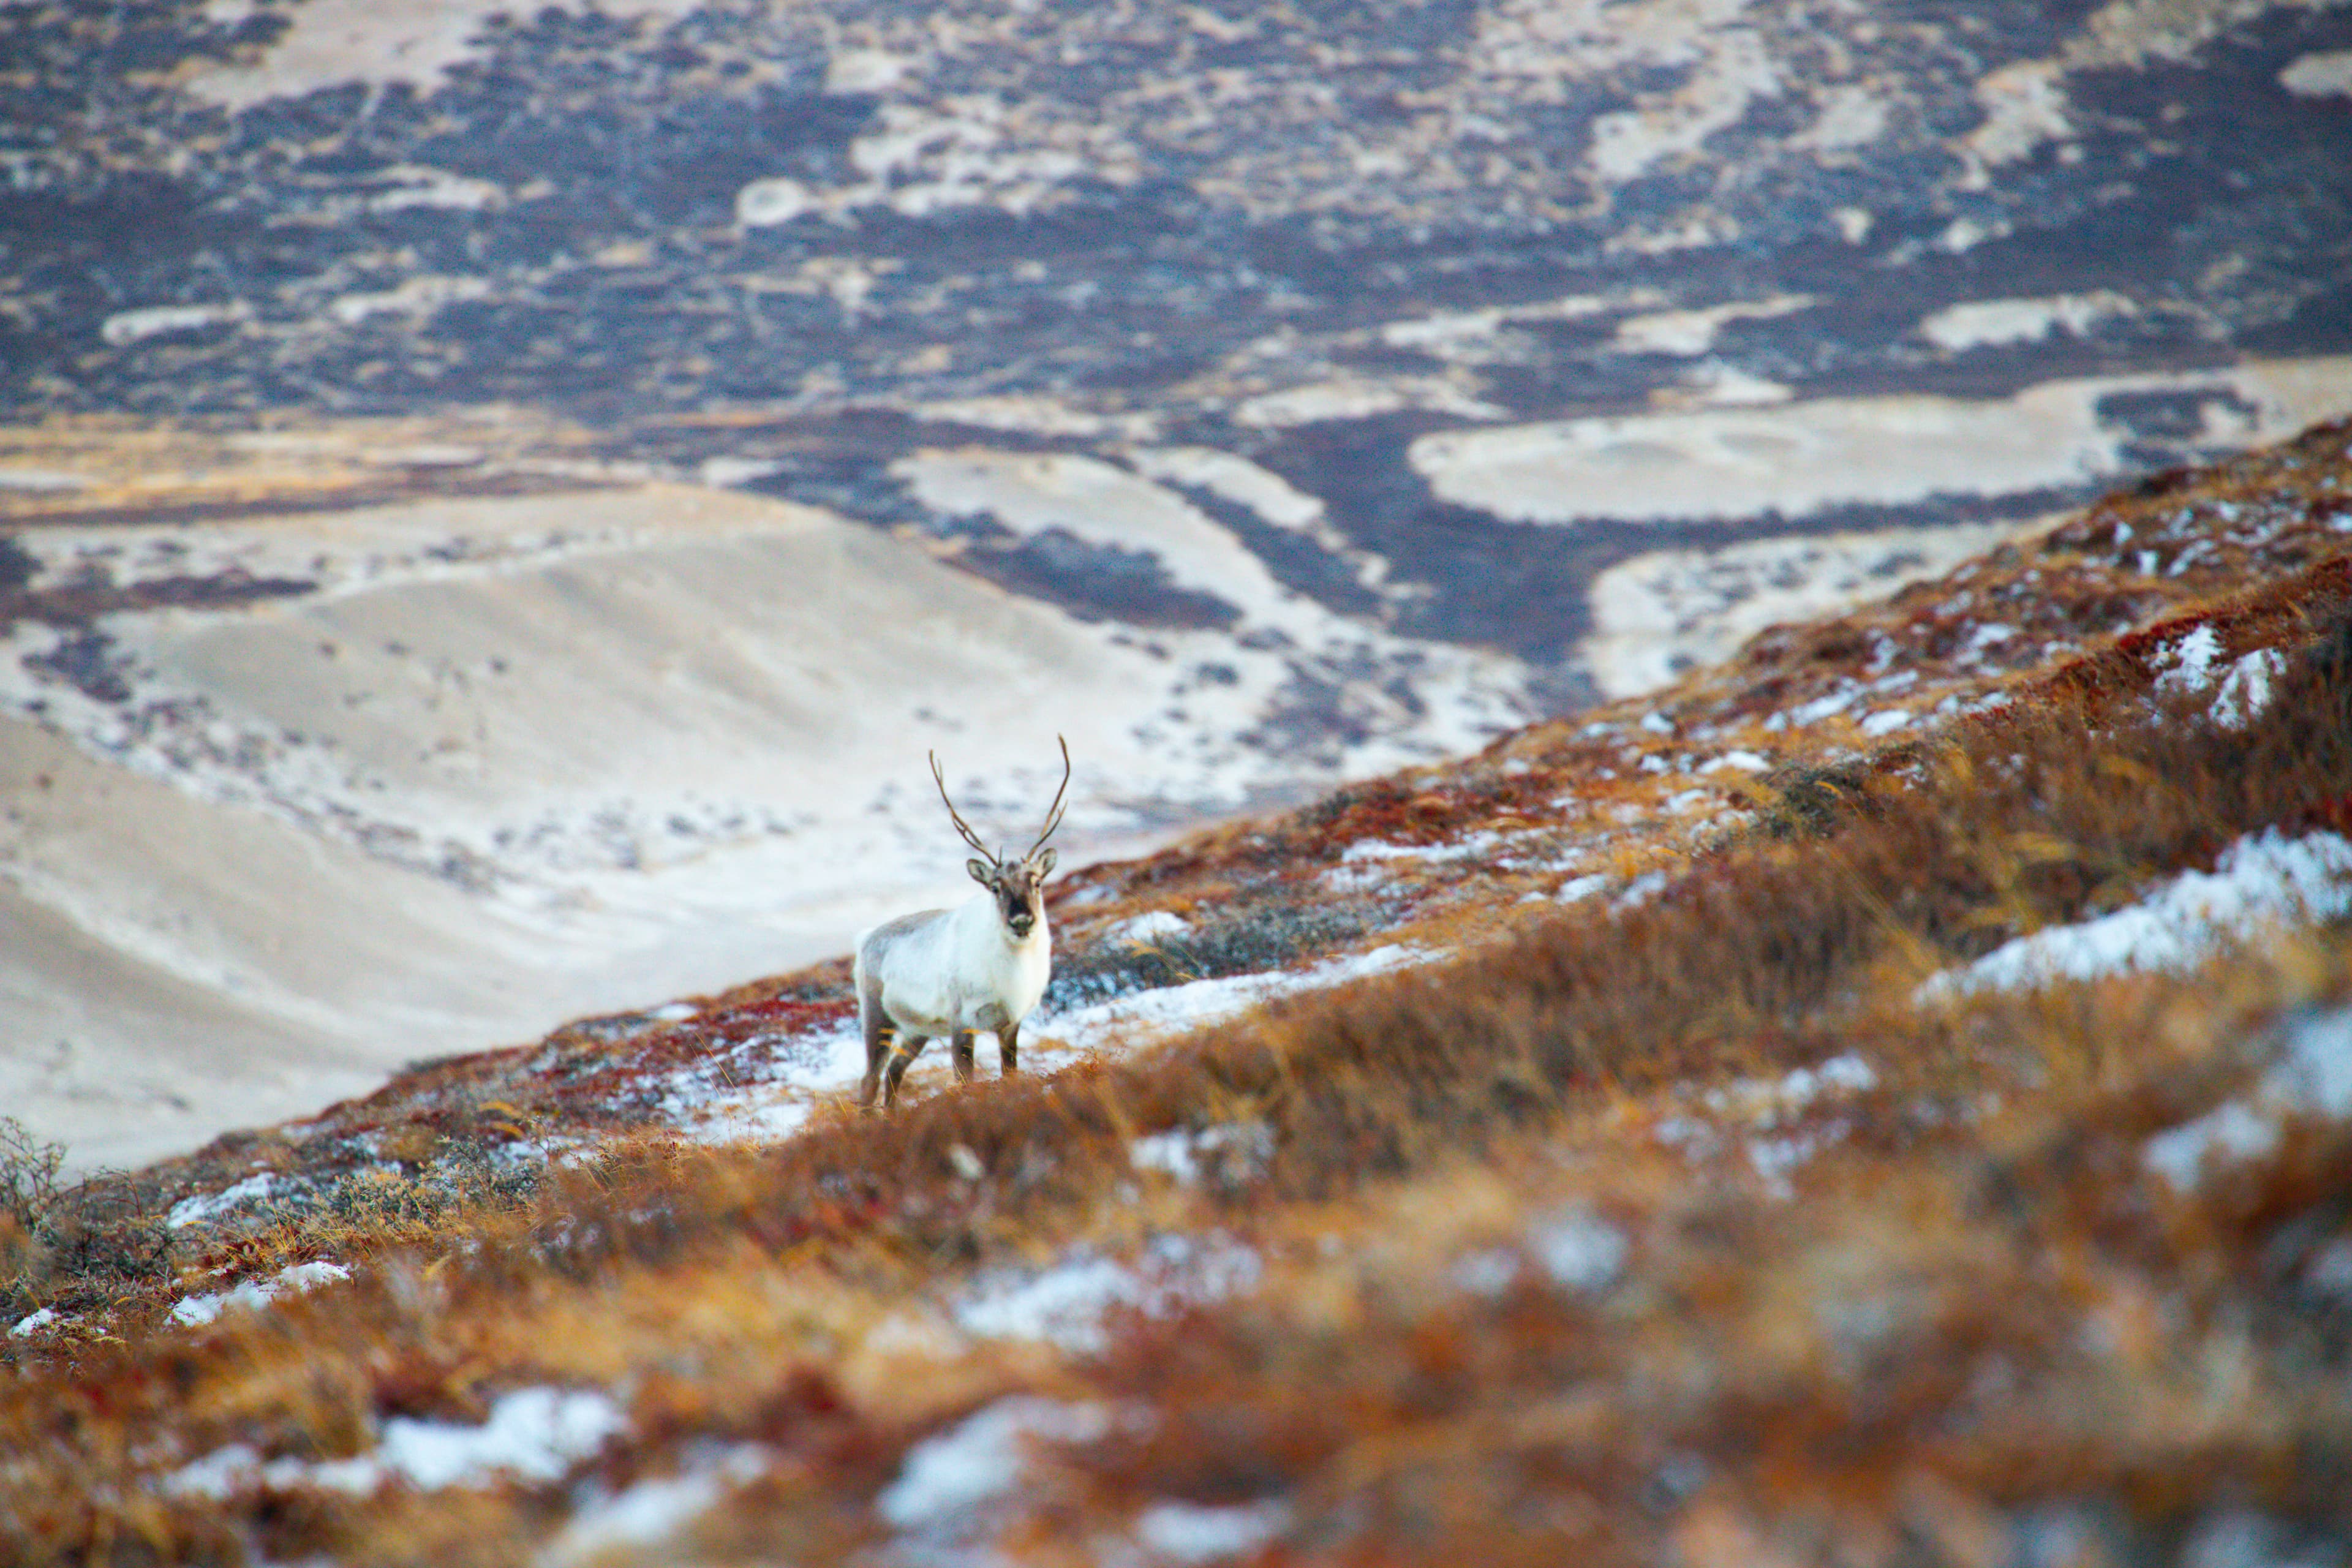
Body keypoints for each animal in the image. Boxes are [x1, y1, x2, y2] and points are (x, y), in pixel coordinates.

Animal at [854, 737, 1071, 1109]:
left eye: (1037, 882)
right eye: (995, 887)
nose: (1022, 921)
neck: (1012, 973)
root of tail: (865, 939)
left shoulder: (1010, 1024)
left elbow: (1010, 1073)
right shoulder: (963, 1023)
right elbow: (964, 1082)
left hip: (918, 1030)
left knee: (894, 1072)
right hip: (878, 1017)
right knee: (869, 1081)